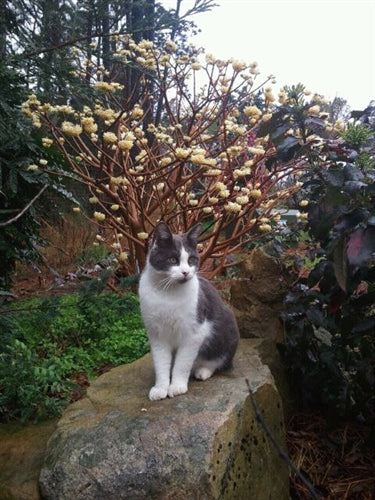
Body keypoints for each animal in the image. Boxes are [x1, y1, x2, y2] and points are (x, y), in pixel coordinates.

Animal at [139, 221, 241, 400]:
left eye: (192, 259)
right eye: (173, 259)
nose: (186, 272)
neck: (168, 293)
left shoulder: (194, 332)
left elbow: (182, 363)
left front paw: (177, 386)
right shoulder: (156, 334)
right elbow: (161, 362)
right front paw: (160, 388)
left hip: (227, 331)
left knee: (219, 361)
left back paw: (202, 371)